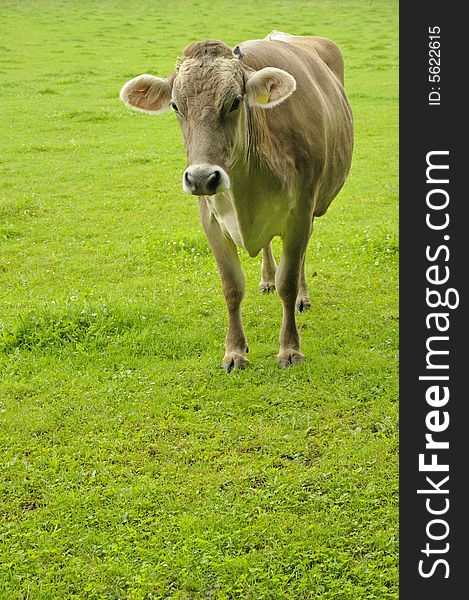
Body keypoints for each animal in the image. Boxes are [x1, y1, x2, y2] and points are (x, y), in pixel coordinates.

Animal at [119, 32, 352, 370]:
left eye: (235, 101)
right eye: (176, 105)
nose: (202, 177)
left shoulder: (300, 213)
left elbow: (288, 281)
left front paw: (290, 349)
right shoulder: (211, 220)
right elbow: (231, 286)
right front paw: (235, 351)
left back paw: (302, 297)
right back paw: (266, 280)